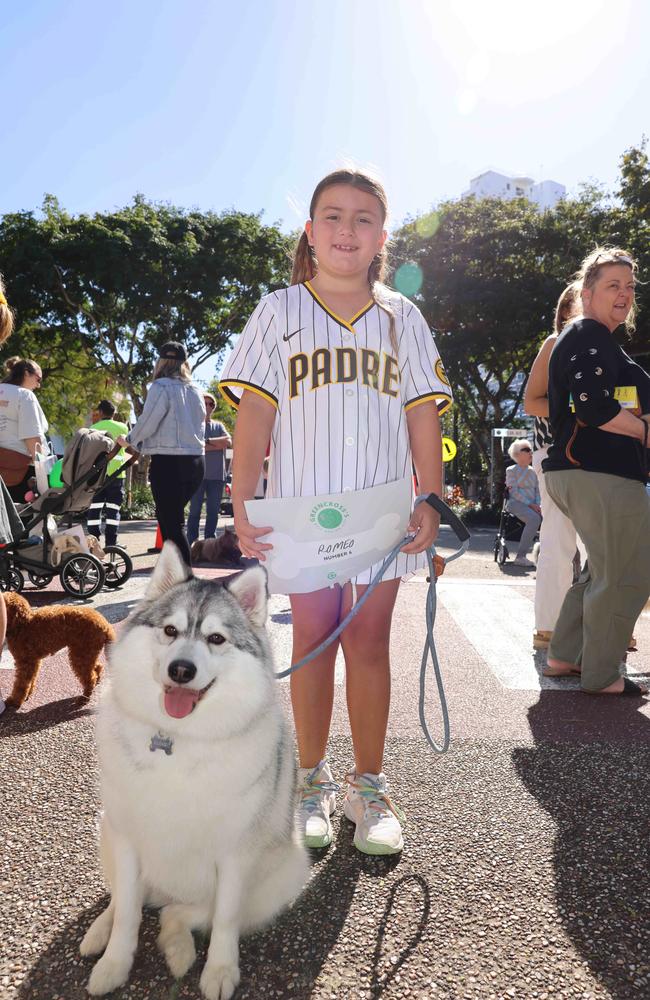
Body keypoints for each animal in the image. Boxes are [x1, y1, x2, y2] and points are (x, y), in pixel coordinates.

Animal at [81, 544, 308, 996]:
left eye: (216, 638)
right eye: (170, 631)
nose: (181, 670)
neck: (178, 739)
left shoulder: (236, 855)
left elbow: (224, 918)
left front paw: (219, 970)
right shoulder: (127, 839)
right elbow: (128, 911)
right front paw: (114, 962)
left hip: (286, 873)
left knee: (181, 913)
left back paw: (179, 949)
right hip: (107, 830)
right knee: (128, 901)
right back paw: (100, 932)